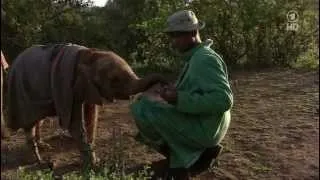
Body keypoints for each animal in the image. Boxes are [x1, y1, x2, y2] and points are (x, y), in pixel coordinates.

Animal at [5, 43, 168, 170]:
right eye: (114, 80)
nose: (164, 85)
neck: (91, 54)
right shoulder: (66, 86)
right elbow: (74, 123)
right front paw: (95, 165)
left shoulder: (87, 88)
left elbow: (91, 116)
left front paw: (94, 160)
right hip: (21, 93)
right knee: (29, 123)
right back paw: (36, 160)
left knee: (39, 119)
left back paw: (43, 147)